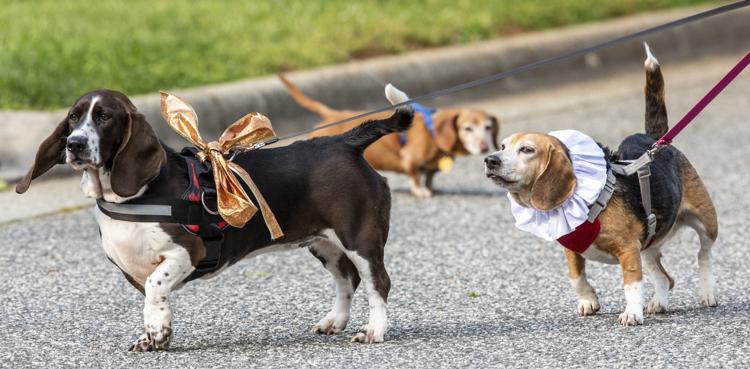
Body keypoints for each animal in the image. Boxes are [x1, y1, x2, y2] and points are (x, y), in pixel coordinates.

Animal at [280, 73, 502, 197]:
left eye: (488, 127)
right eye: (467, 128)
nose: (484, 147)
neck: (431, 130)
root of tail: (331, 114)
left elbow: (430, 176)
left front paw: (431, 188)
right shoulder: (410, 160)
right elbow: (415, 176)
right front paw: (421, 191)